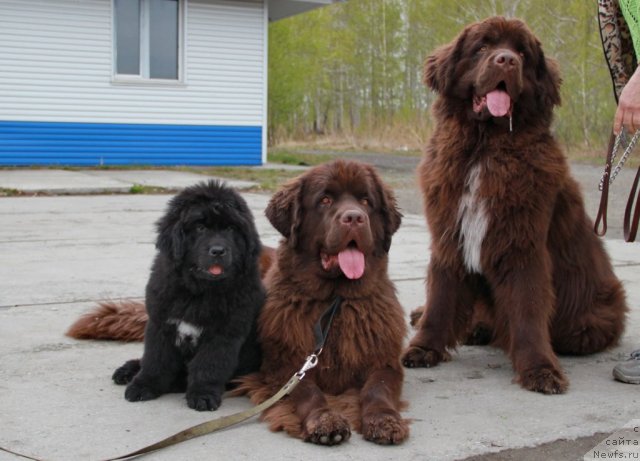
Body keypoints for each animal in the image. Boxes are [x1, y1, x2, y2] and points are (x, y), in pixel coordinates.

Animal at [67, 180, 262, 410]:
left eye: (231, 228)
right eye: (200, 227)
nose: (218, 250)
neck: (198, 291)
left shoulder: (224, 333)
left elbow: (209, 365)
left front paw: (202, 394)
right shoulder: (160, 323)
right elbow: (155, 360)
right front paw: (143, 386)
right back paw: (127, 370)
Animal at [235, 160, 410, 444]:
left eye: (365, 201)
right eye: (325, 200)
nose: (354, 217)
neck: (336, 299)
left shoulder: (384, 361)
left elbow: (378, 388)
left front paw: (385, 420)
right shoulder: (286, 364)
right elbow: (307, 391)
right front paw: (325, 421)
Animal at [402, 16, 628, 394]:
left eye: (522, 53)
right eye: (482, 47)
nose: (506, 60)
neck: (485, 148)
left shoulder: (521, 244)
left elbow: (526, 308)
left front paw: (539, 369)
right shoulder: (450, 235)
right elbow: (441, 297)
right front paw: (423, 347)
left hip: (590, 321)